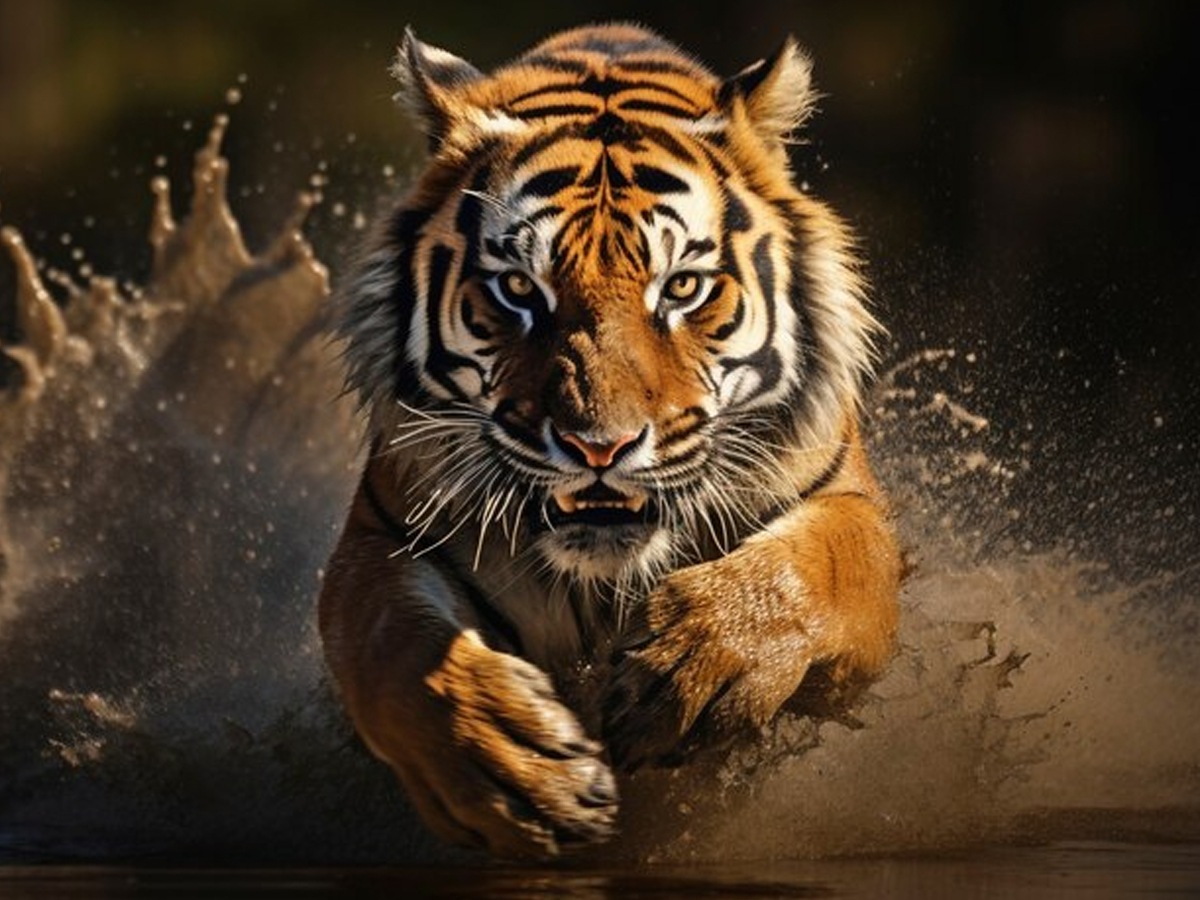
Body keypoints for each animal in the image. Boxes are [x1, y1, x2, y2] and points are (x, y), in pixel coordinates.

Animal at [318, 22, 901, 859]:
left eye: (682, 287)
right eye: (519, 289)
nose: (600, 446)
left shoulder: (851, 509)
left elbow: (819, 563)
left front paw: (692, 673)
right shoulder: (381, 538)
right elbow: (389, 646)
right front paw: (509, 767)